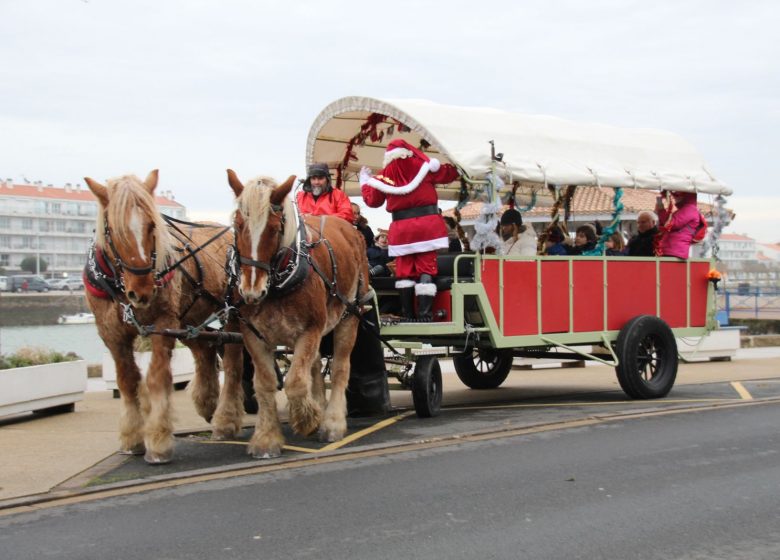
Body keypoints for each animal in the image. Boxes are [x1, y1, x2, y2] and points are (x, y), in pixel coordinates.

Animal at [84, 172, 245, 464]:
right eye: (114, 230)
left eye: (152, 225)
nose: (142, 290)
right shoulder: (111, 332)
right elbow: (127, 381)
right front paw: (132, 438)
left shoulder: (164, 323)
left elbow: (157, 378)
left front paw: (158, 440)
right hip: (188, 319)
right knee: (204, 351)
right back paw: (206, 402)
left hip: (231, 313)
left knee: (232, 361)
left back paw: (225, 419)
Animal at [227, 172, 370, 460]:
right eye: (237, 225)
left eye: (273, 228)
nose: (251, 291)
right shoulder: (253, 334)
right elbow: (265, 383)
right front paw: (267, 437)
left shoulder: (310, 330)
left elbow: (294, 382)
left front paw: (307, 420)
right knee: (314, 367)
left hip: (349, 315)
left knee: (340, 367)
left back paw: (332, 420)